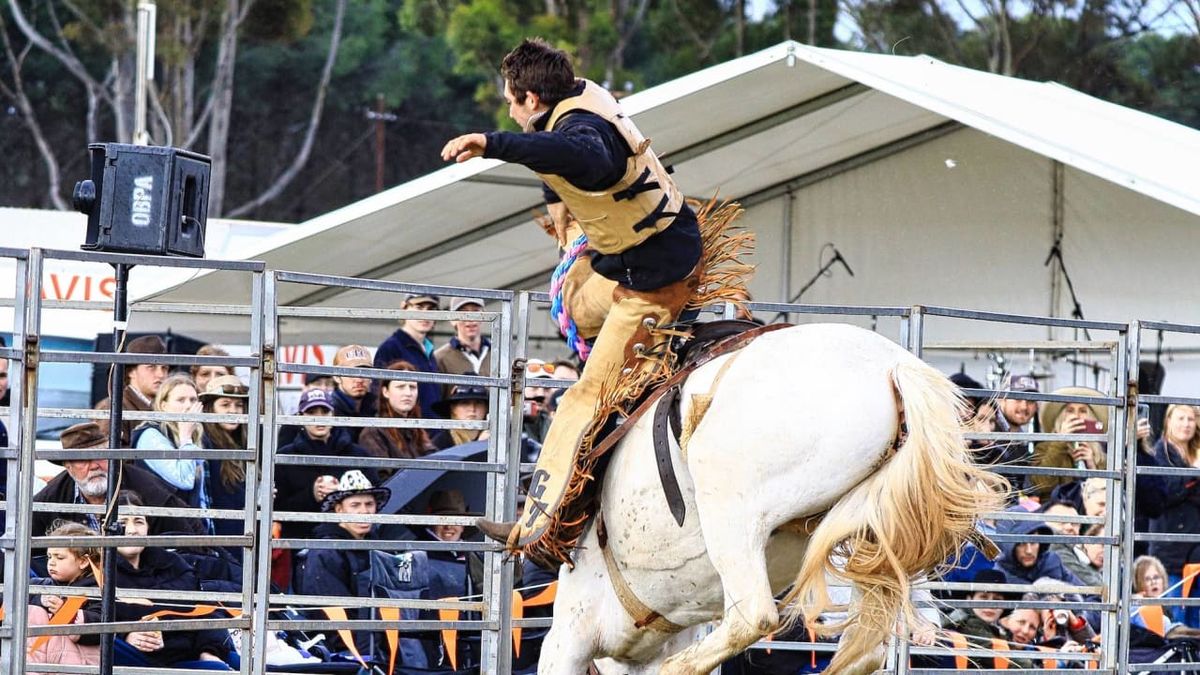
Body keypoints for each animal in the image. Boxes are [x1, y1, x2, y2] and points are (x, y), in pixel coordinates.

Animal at [535, 324, 1003, 667]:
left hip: (729, 499)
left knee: (753, 614)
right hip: (873, 529)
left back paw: (682, 666)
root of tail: (895, 365)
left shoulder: (567, 637)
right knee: (865, 648)